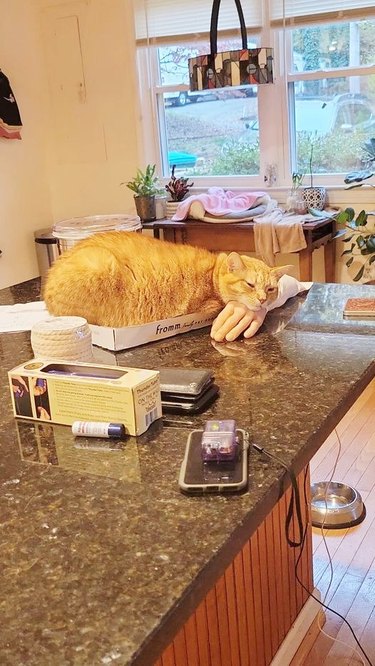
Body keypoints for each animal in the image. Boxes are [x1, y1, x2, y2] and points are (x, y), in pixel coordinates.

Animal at [43, 231, 290, 326]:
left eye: (270, 289)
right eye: (250, 285)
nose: (262, 300)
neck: (212, 273)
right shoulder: (204, 306)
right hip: (100, 262)